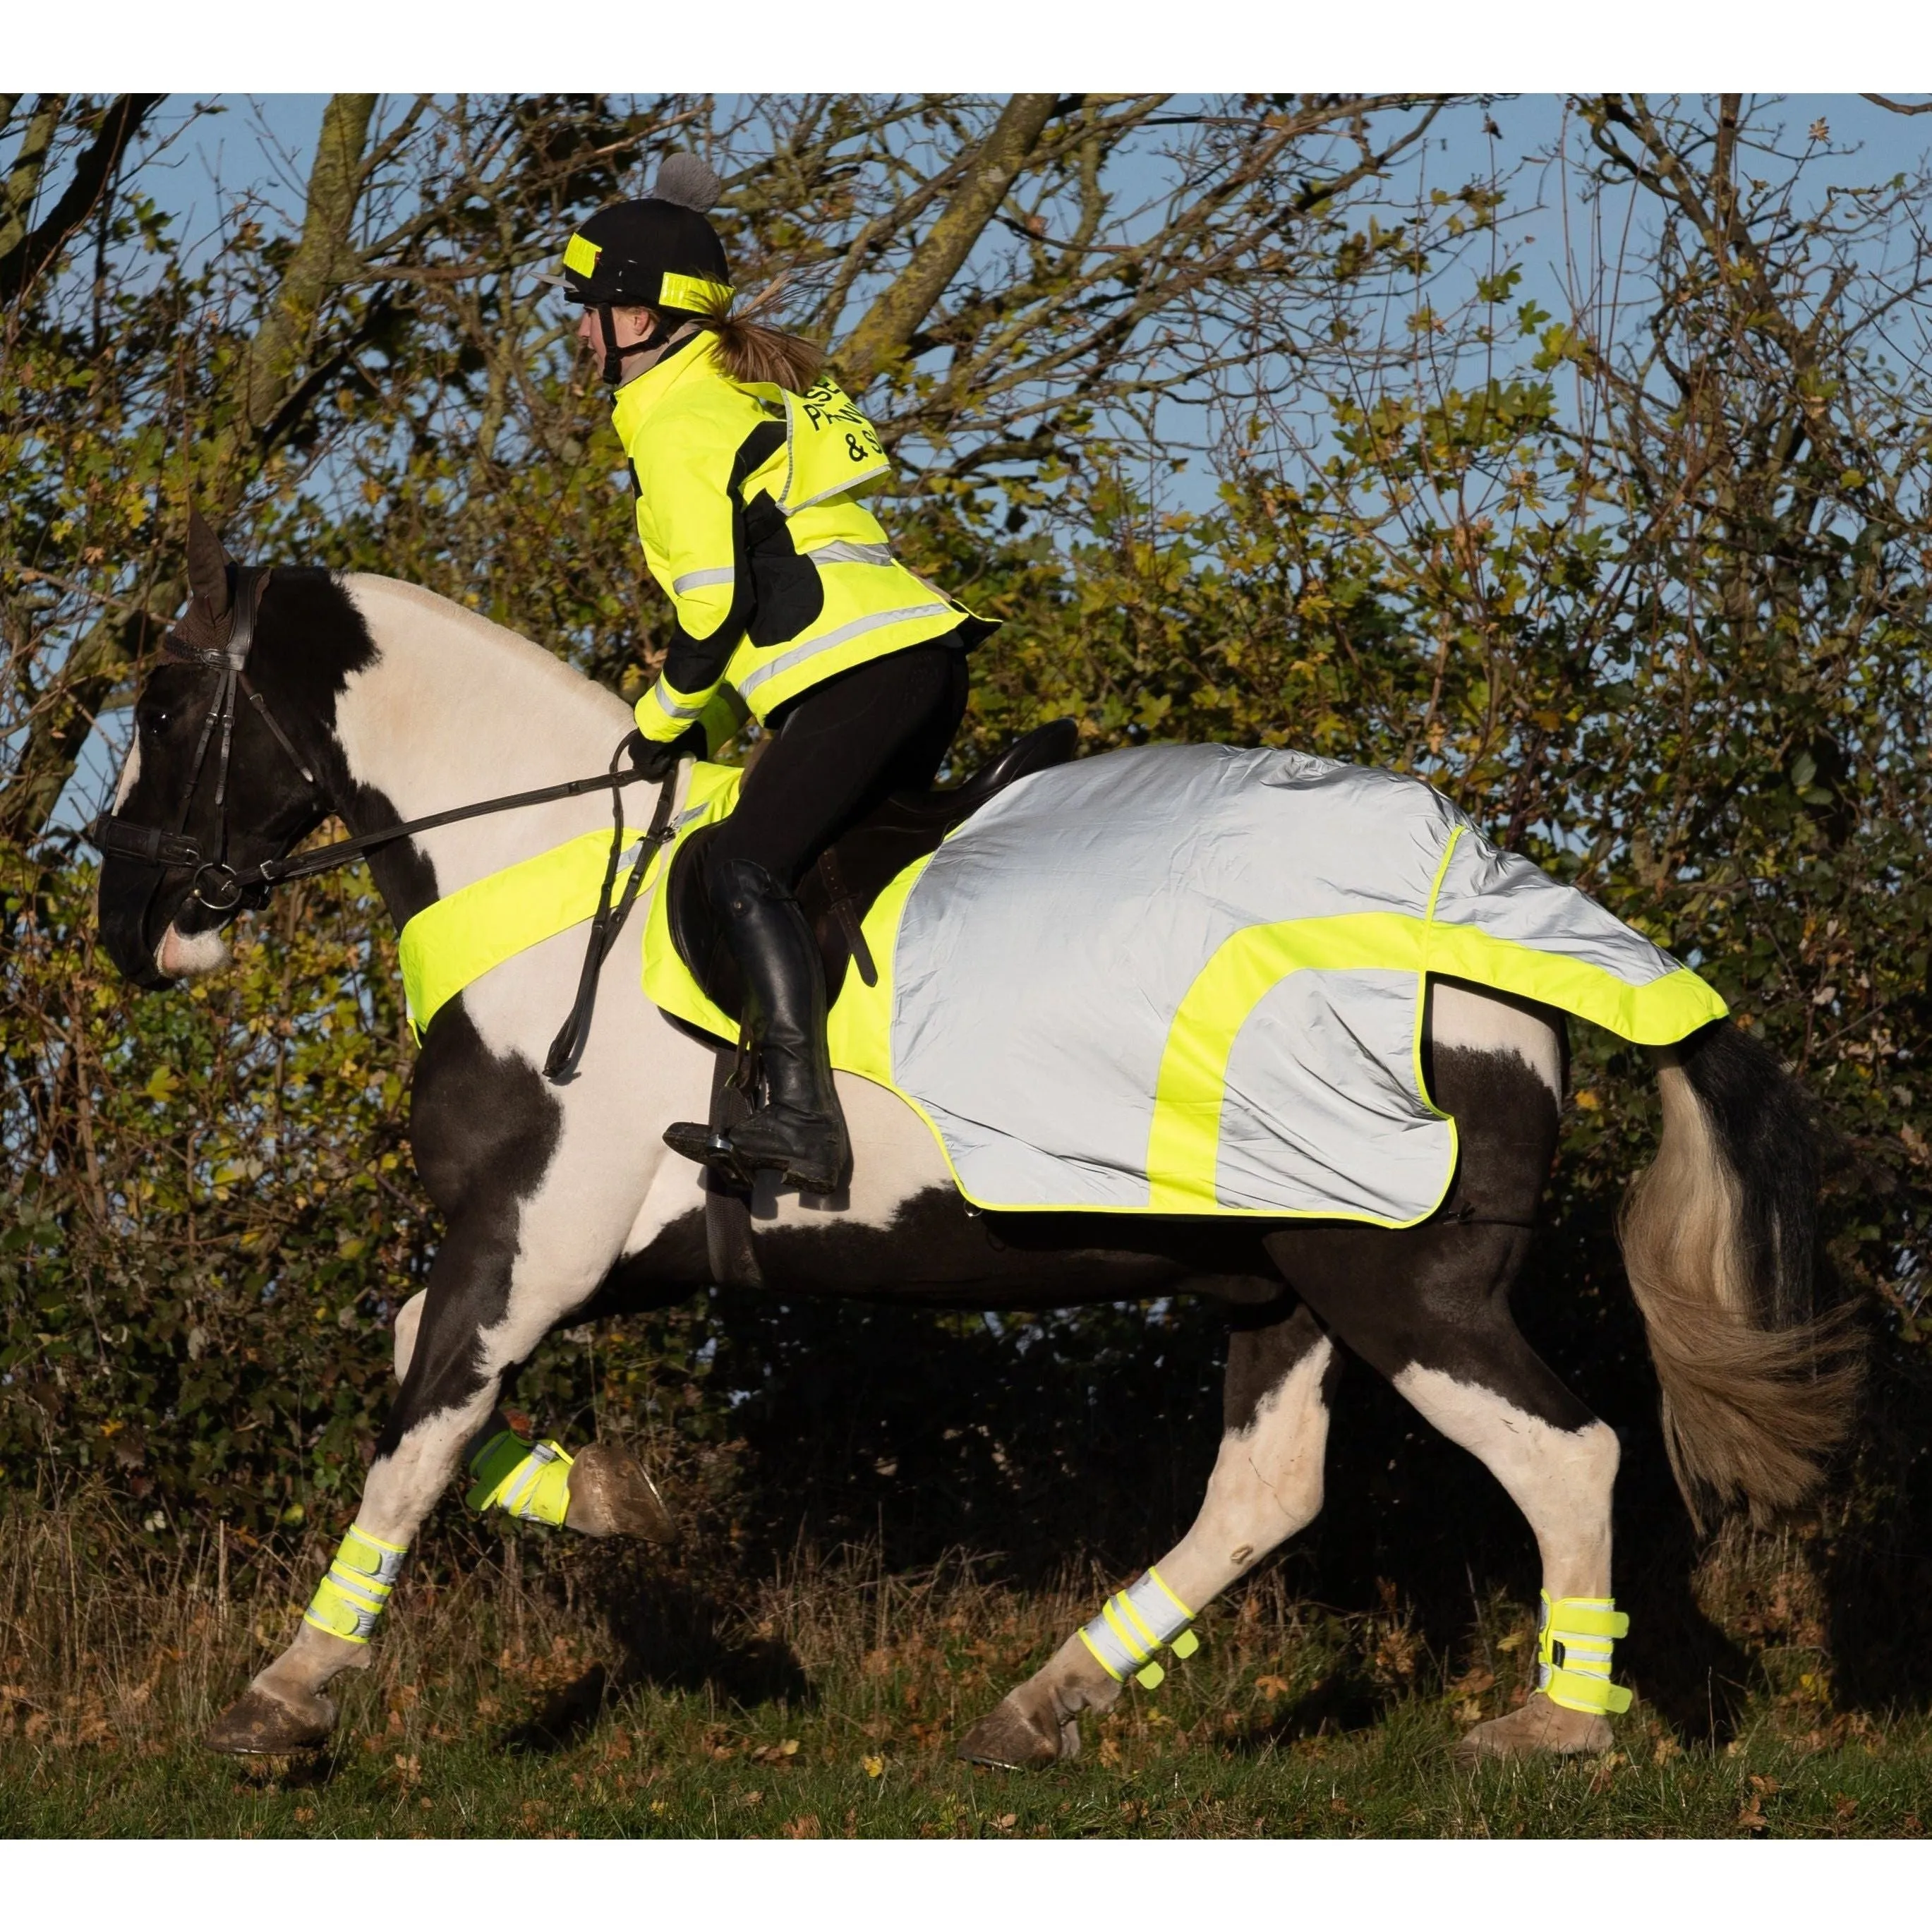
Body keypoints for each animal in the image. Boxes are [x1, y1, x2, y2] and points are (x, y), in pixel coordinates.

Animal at [90, 525, 1854, 1770]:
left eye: (165, 704)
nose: (129, 927)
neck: (544, 875)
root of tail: (1495, 941)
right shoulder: (588, 1250)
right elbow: (421, 1370)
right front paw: (606, 1493)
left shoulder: (539, 1237)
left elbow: (411, 1429)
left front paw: (285, 1698)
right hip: (1280, 1277)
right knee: (1267, 1491)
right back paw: (1044, 1703)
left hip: (1397, 1282)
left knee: (1567, 1454)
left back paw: (1554, 1726)